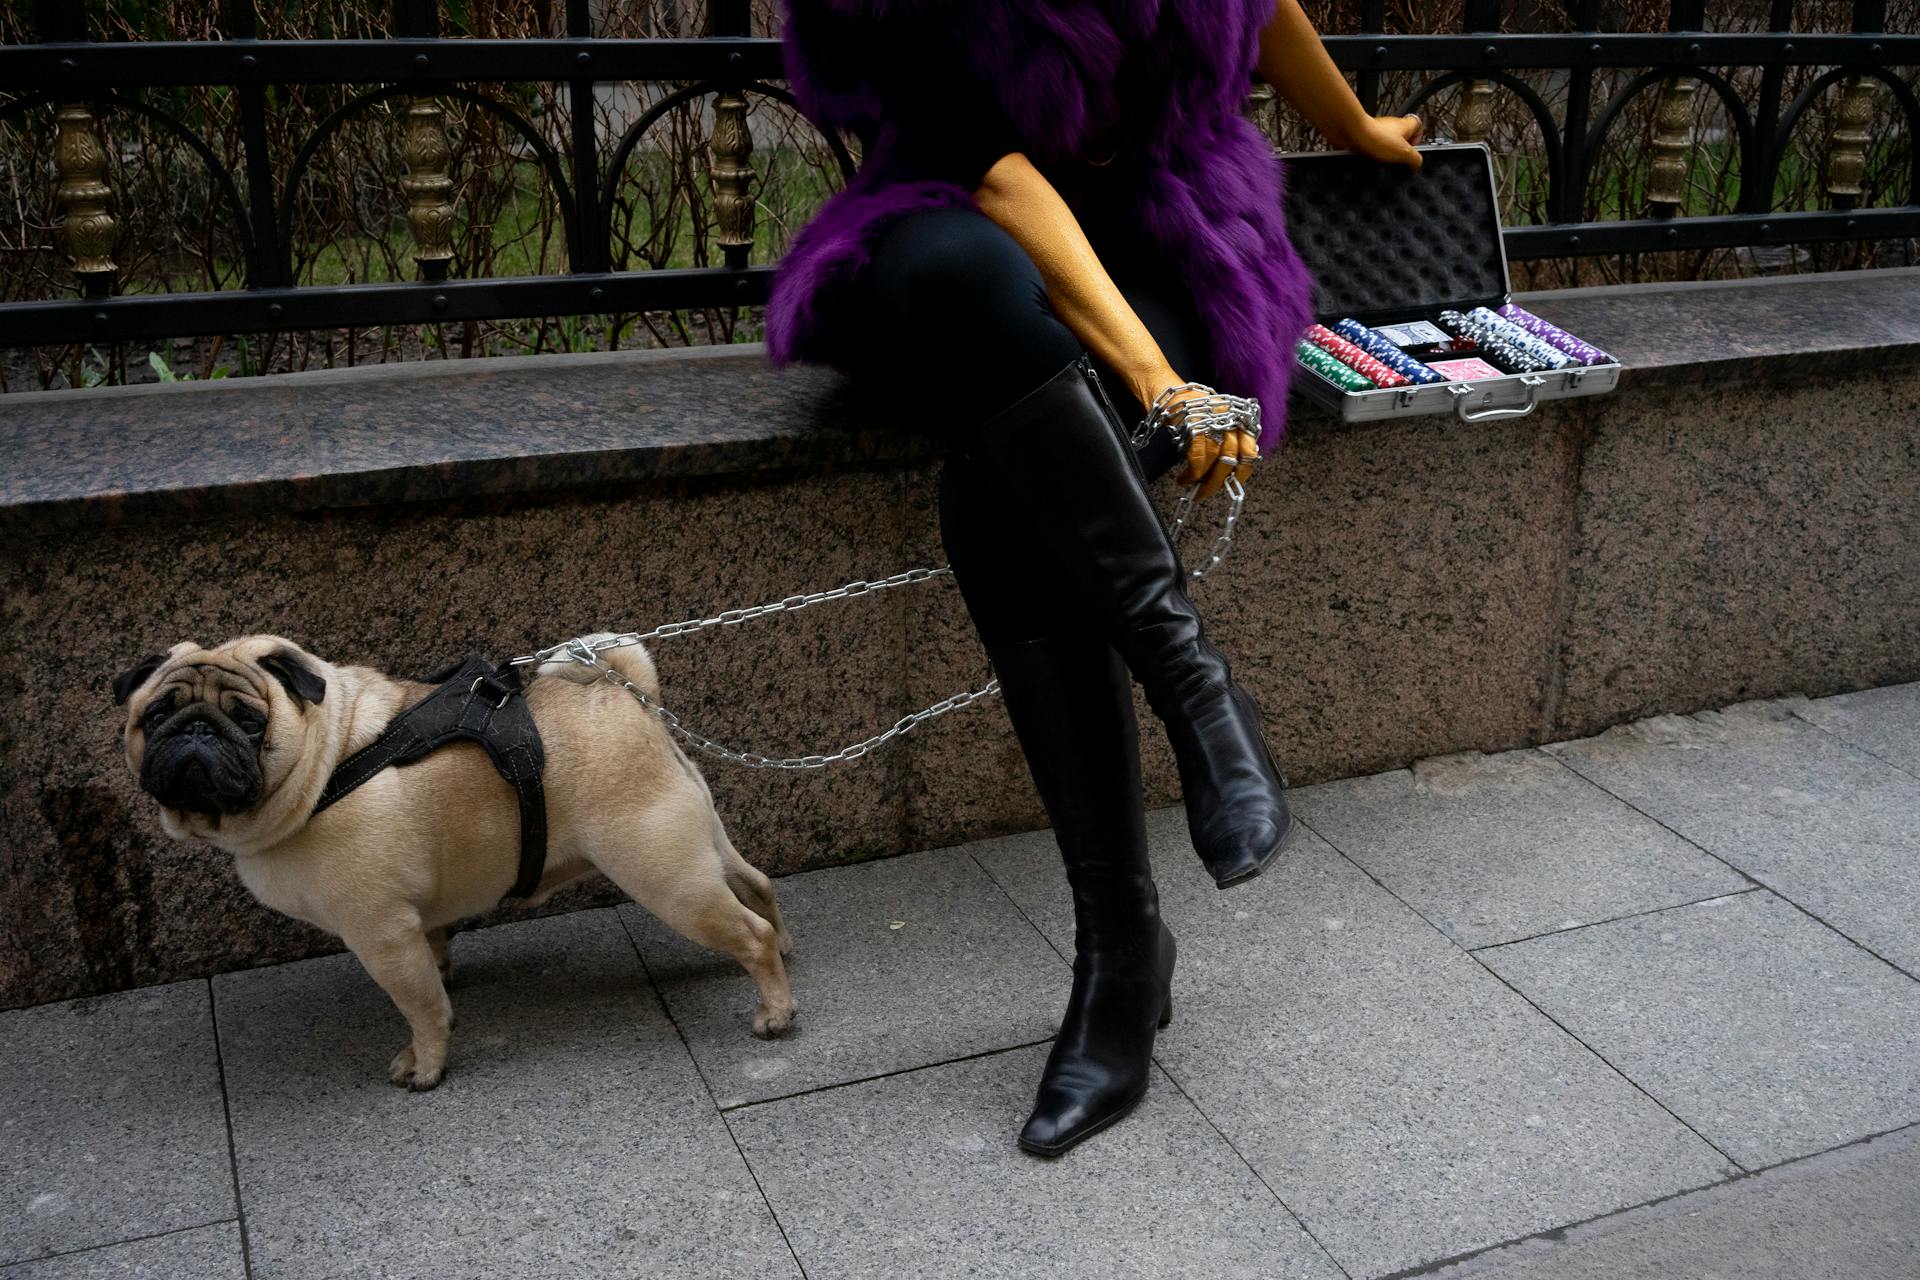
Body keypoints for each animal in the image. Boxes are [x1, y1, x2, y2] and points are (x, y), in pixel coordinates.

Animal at [114, 637, 794, 1090]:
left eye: (250, 721)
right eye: (155, 716)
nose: (196, 731)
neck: (326, 760)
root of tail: (631, 699)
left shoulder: (379, 932)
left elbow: (420, 1005)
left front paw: (426, 1065)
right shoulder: (412, 922)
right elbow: (434, 961)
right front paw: (444, 977)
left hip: (664, 875)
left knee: (748, 933)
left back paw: (775, 1011)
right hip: (698, 846)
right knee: (756, 885)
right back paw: (785, 950)